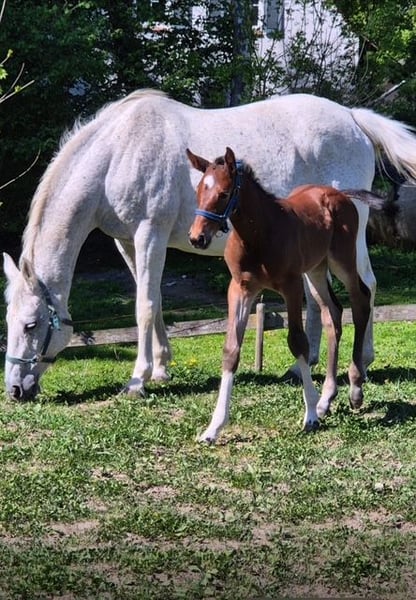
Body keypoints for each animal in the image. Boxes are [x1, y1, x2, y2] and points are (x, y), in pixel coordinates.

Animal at [3, 89, 416, 401]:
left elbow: (144, 306)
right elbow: (154, 300)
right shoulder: (127, 242)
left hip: (351, 238)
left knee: (366, 287)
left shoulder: (150, 234)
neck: (117, 152)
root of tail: (352, 117)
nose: (15, 390)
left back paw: (363, 362)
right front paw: (162, 368)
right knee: (322, 303)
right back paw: (305, 365)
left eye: (31, 325)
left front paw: (138, 380)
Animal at [187, 146, 385, 441]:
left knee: (360, 301)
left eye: (223, 194)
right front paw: (213, 428)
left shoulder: (291, 286)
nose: (197, 237)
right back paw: (327, 398)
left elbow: (298, 342)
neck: (258, 235)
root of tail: (339, 193)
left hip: (342, 260)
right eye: (199, 190)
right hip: (315, 269)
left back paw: (355, 389)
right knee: (333, 313)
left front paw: (310, 415)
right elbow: (231, 349)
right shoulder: (240, 288)